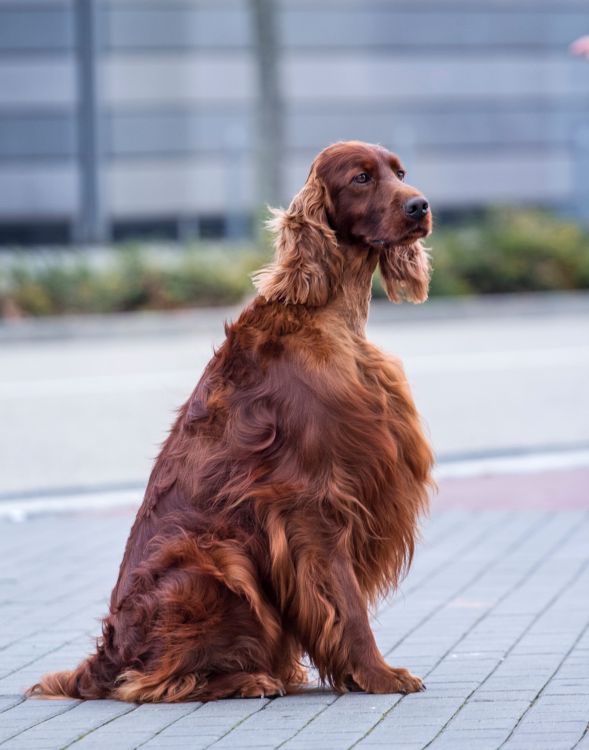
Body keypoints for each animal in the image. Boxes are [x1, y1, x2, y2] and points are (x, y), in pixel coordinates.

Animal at [29, 141, 434, 704]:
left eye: (400, 172)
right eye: (360, 178)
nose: (420, 206)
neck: (329, 318)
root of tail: (103, 658)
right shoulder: (312, 501)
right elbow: (346, 602)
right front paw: (377, 674)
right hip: (215, 556)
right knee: (151, 681)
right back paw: (248, 679)